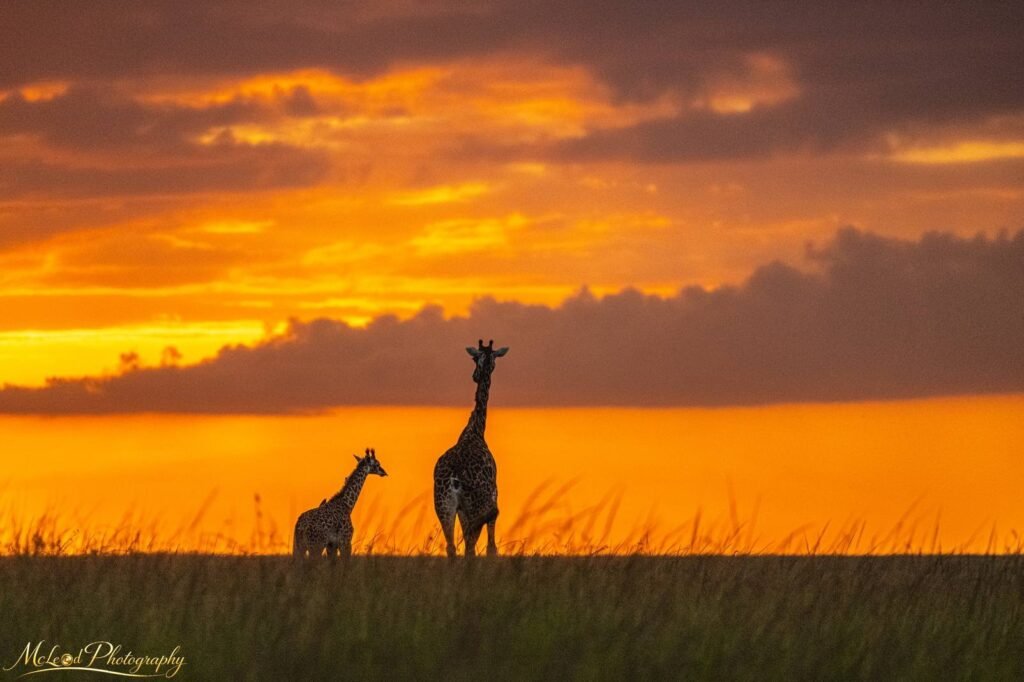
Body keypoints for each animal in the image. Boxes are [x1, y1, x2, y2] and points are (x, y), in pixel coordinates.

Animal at [433, 339, 509, 557]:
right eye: (474, 358)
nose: (475, 376)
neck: (475, 430)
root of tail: (455, 477)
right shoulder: (494, 497)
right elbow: (491, 547)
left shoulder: (460, 509)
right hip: (475, 506)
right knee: (469, 547)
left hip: (443, 506)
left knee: (452, 547)